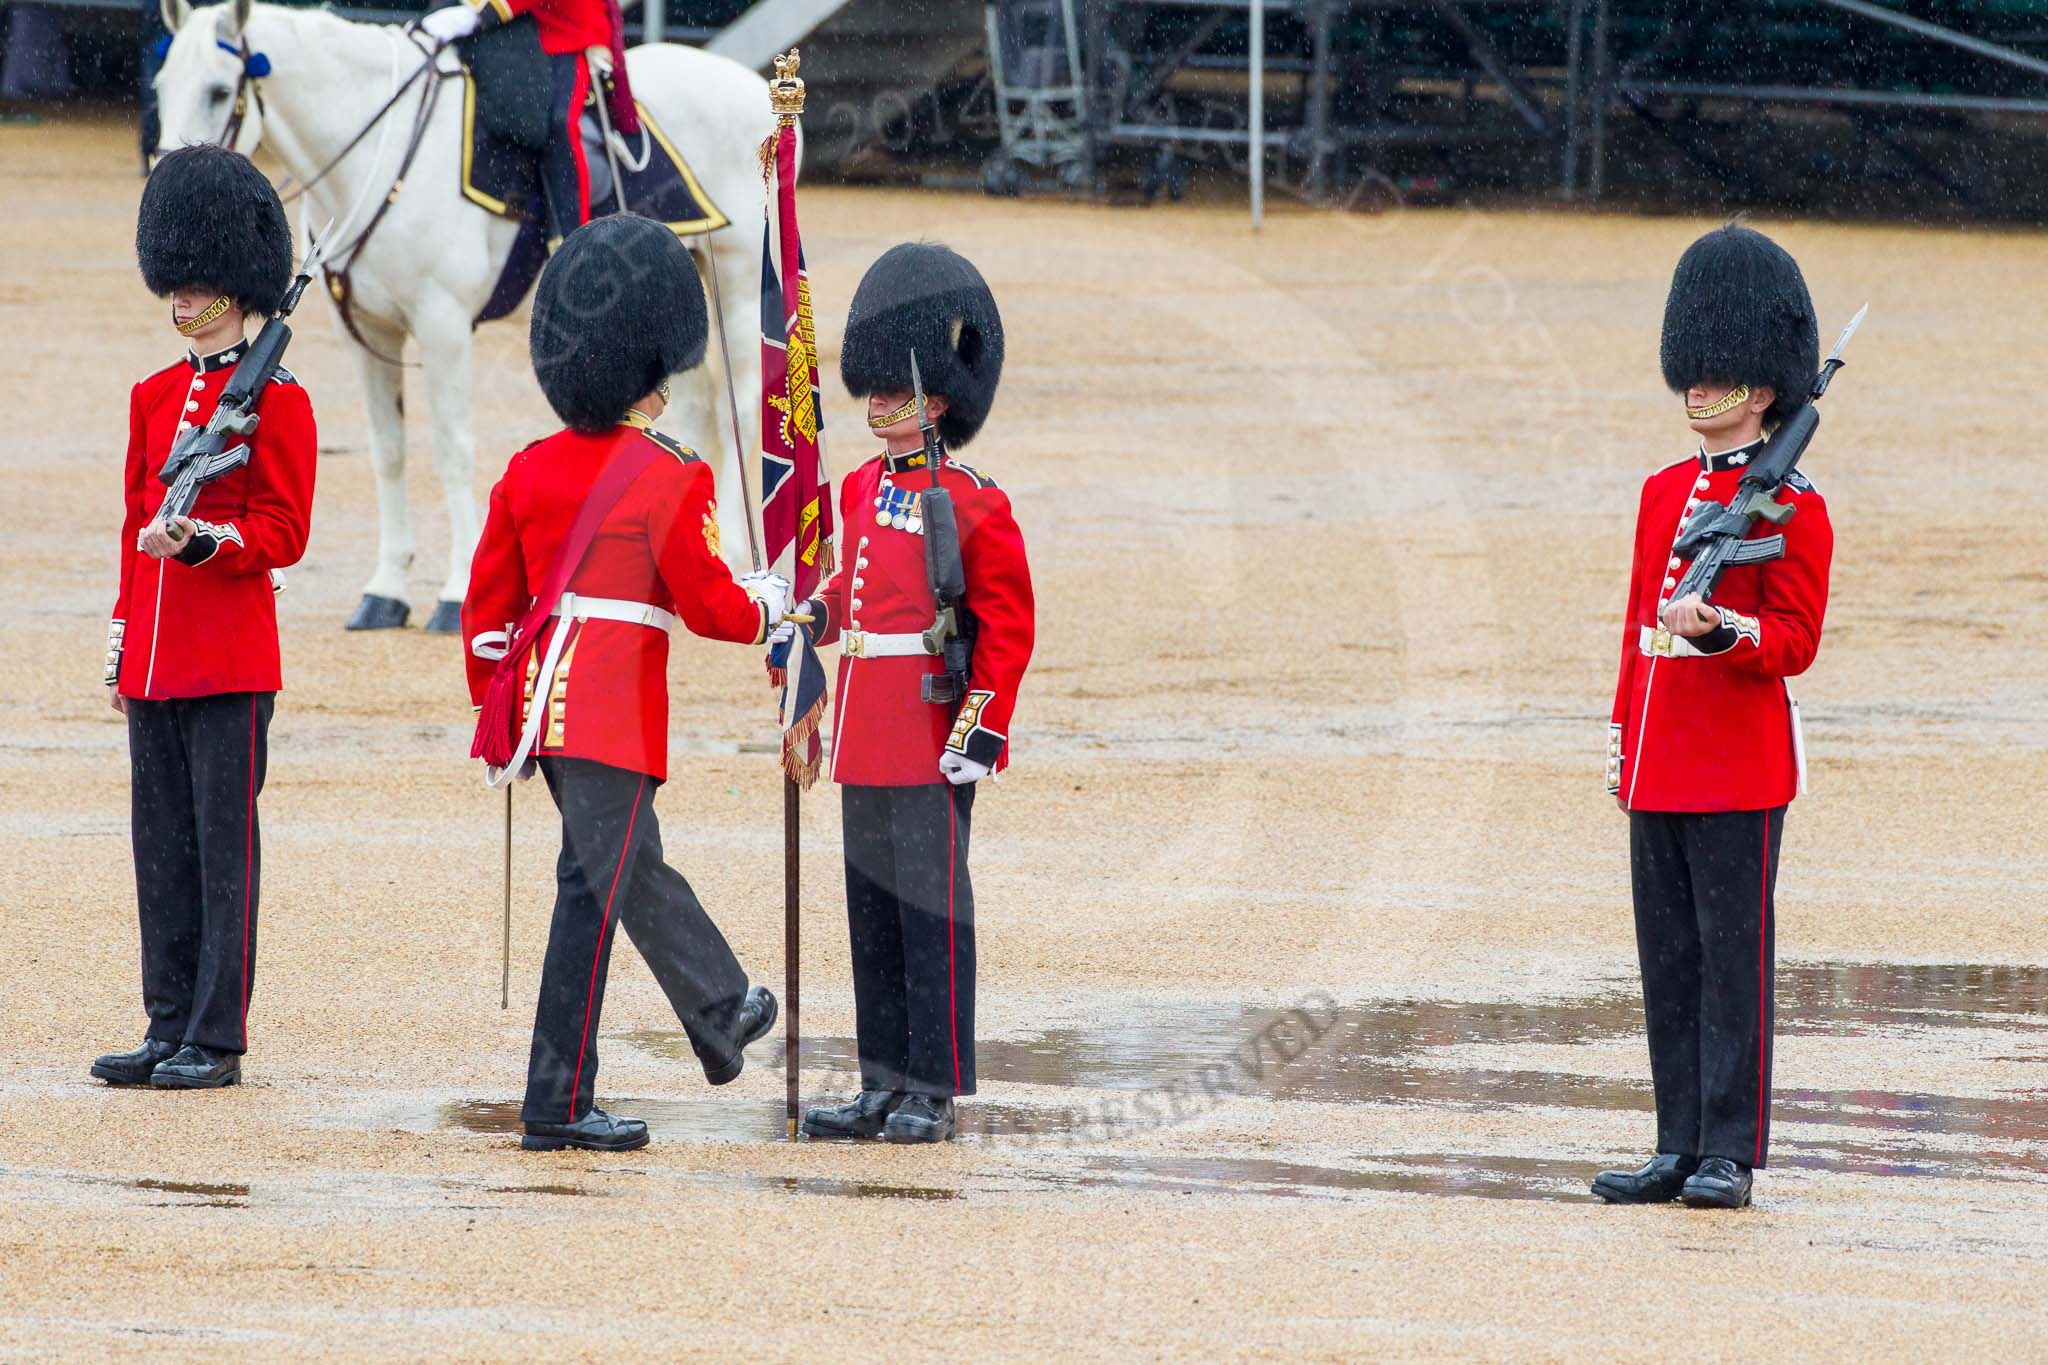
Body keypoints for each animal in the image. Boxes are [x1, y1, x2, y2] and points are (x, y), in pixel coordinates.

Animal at [152, 0, 773, 632]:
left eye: (218, 90)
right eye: (161, 85)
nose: (165, 183)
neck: (384, 151)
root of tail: (749, 85)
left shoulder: (442, 323)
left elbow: (452, 450)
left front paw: (454, 595)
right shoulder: (369, 333)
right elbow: (389, 451)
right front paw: (386, 590)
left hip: (738, 282)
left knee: (739, 409)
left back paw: (735, 551)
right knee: (694, 411)